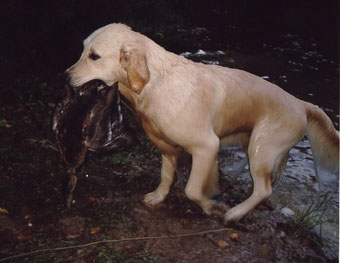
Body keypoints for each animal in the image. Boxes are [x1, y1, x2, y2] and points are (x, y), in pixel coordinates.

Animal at [65, 23, 338, 224]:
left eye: (94, 56)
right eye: (82, 50)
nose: (66, 77)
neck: (155, 84)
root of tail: (301, 103)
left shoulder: (207, 146)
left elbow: (192, 190)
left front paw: (211, 205)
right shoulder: (166, 147)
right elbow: (166, 177)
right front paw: (158, 197)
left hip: (260, 150)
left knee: (263, 189)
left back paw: (235, 214)